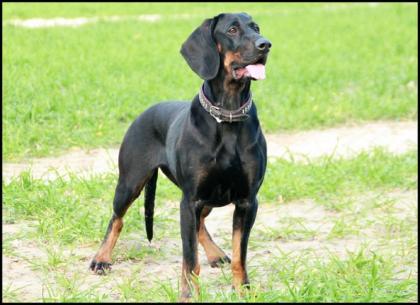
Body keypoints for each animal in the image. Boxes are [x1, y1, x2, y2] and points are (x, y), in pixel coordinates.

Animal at [90, 11, 270, 300]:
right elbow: (189, 257)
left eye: (256, 27)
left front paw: (243, 290)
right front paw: (188, 294)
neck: (227, 115)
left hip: (210, 197)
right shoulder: (189, 200)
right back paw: (102, 258)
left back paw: (215, 253)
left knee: (201, 224)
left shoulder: (247, 200)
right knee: (116, 219)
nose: (266, 45)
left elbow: (240, 255)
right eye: (232, 30)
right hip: (130, 182)